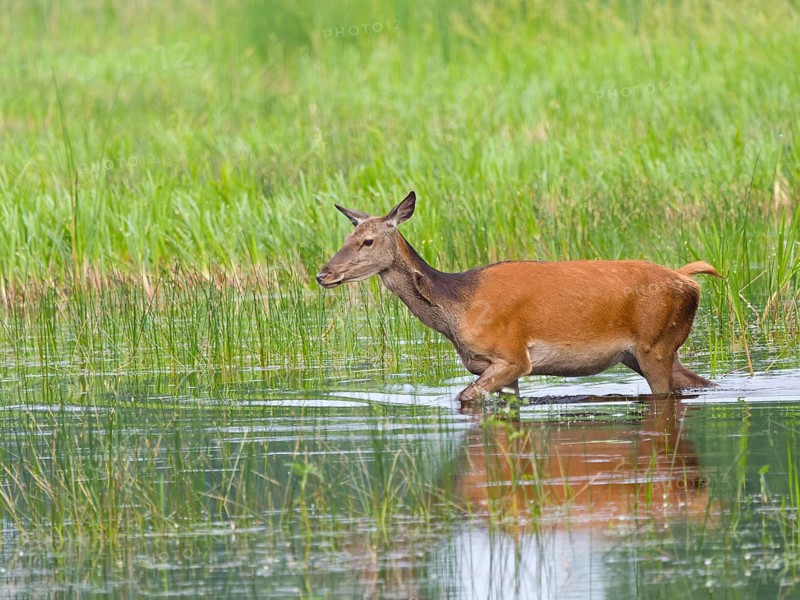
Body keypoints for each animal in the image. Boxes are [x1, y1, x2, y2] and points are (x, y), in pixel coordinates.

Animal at [316, 191, 721, 409]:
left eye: (367, 241)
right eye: (347, 237)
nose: (324, 274)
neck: (456, 308)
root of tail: (688, 279)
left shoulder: (512, 355)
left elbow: (464, 396)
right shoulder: (492, 366)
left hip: (656, 344)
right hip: (640, 352)